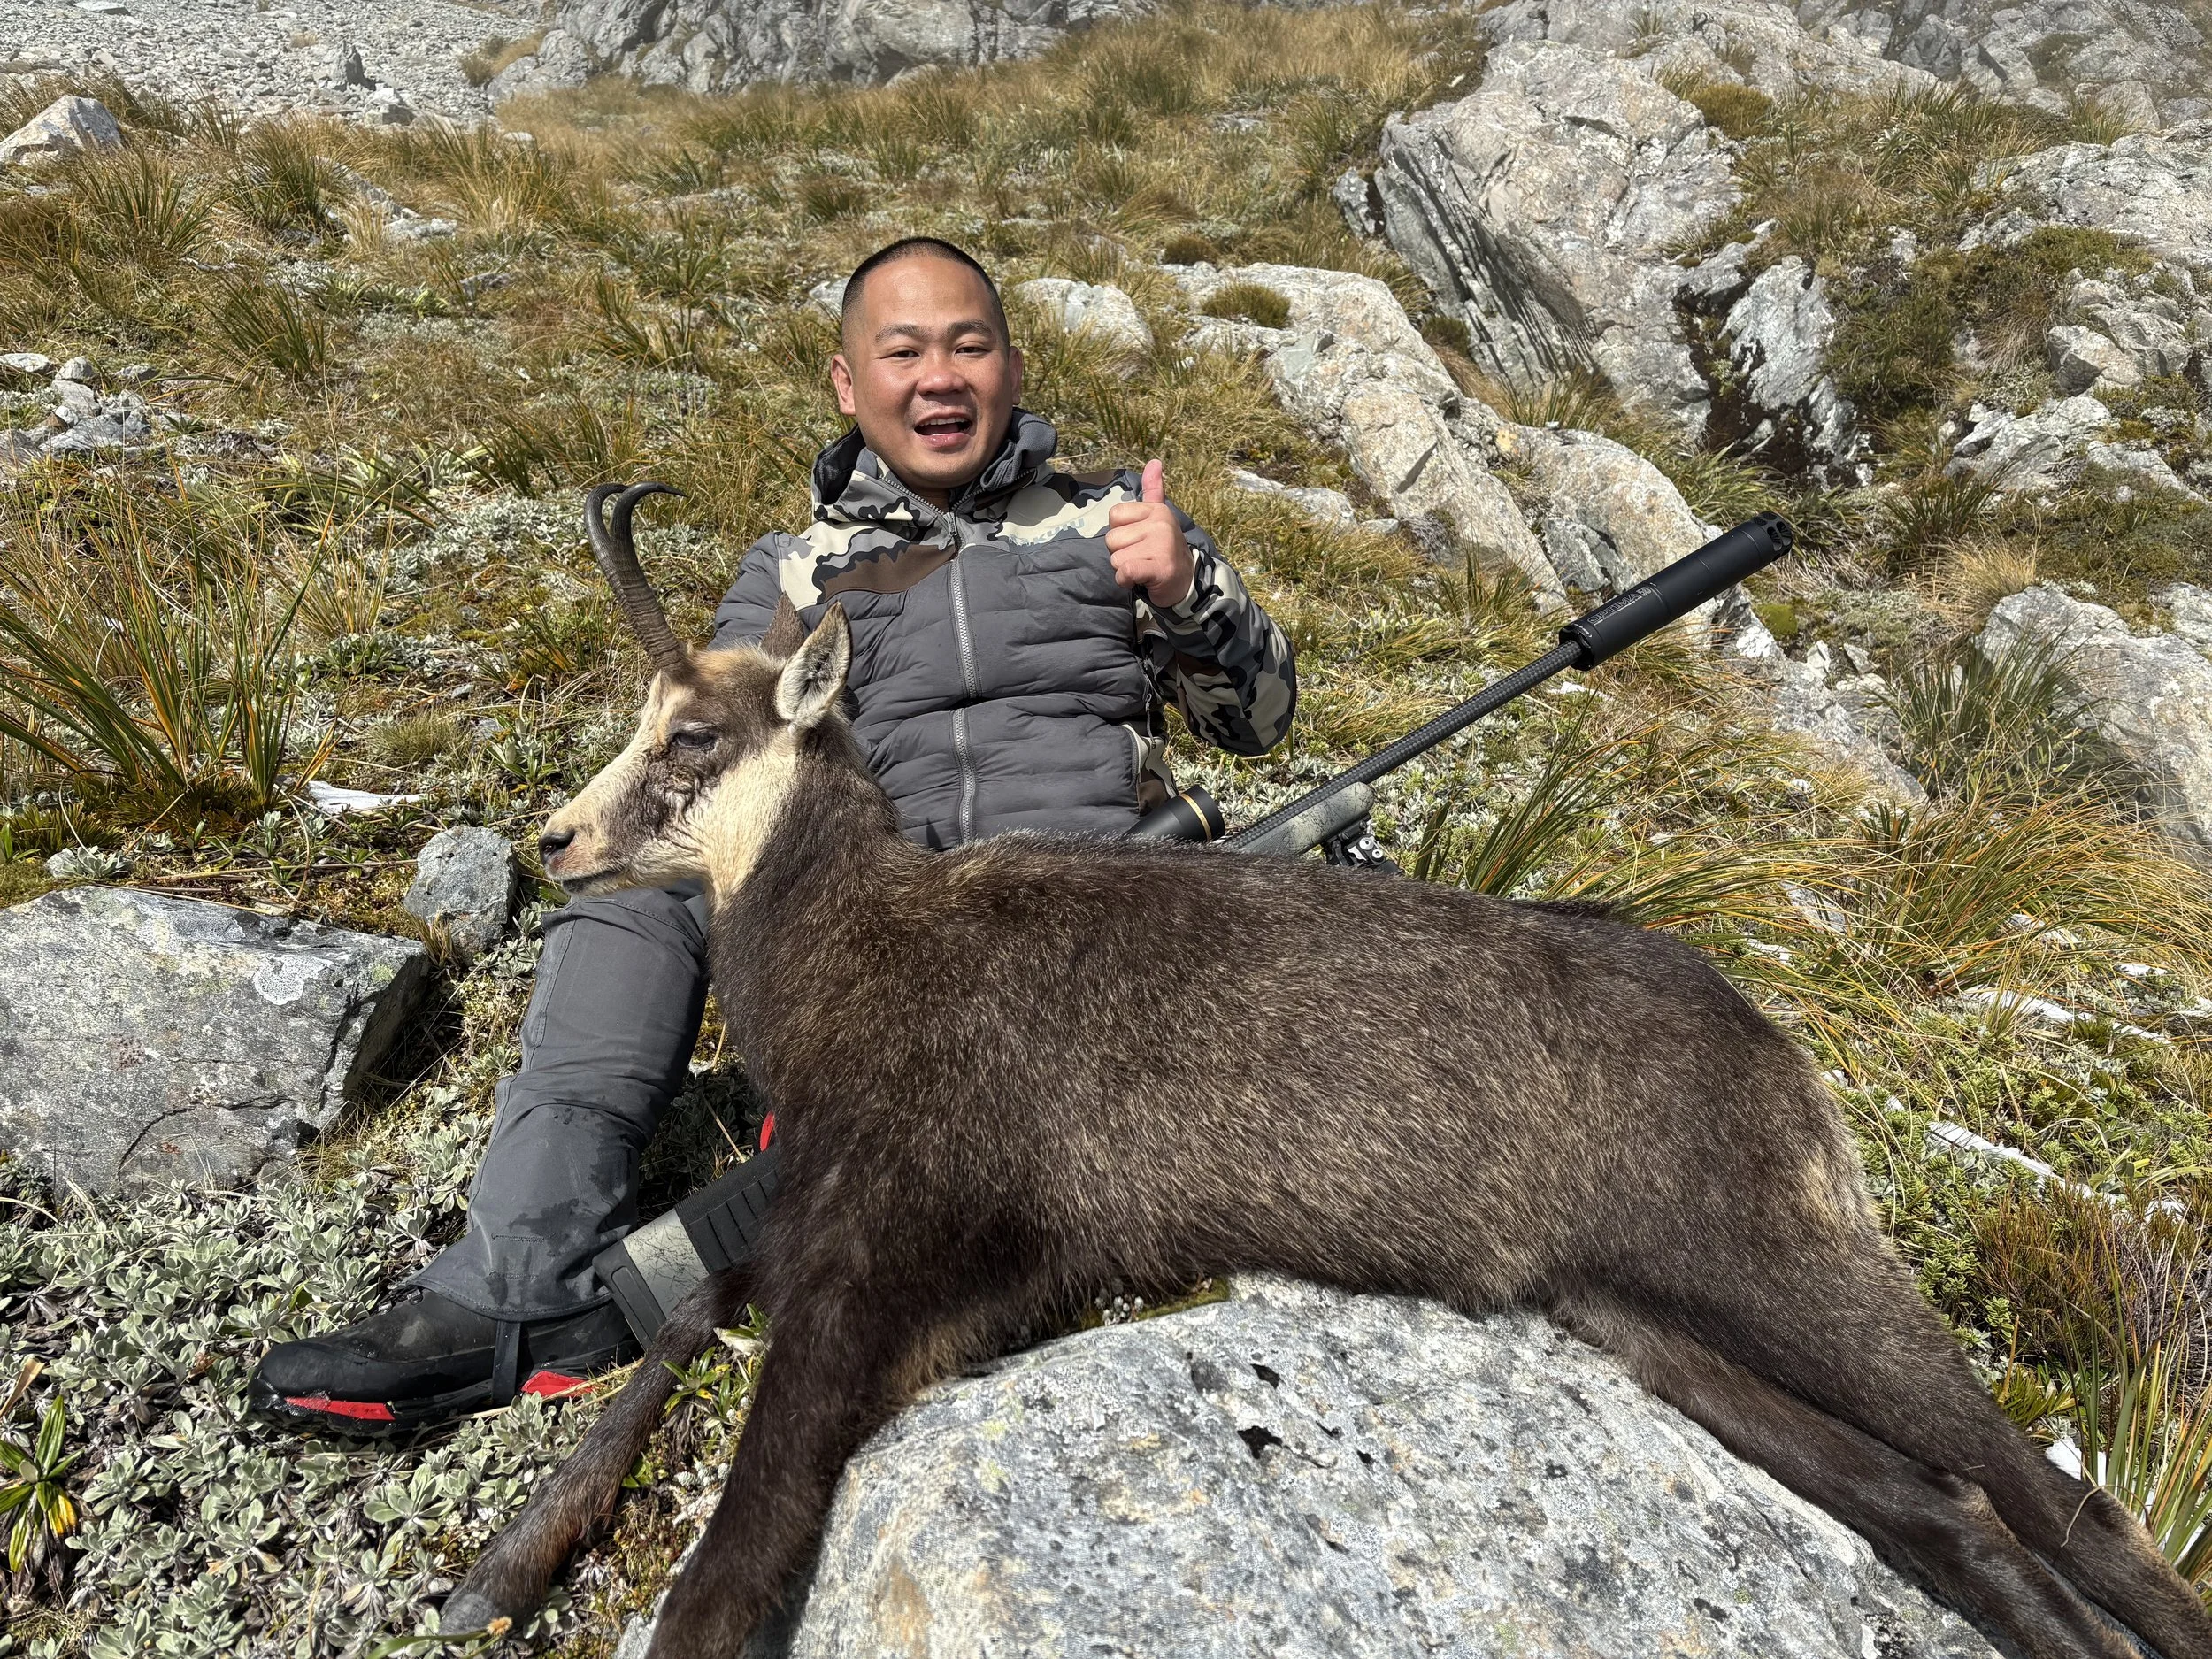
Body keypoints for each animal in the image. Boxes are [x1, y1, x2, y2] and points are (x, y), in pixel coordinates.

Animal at [443, 483, 2212, 1659]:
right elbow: (683, 1341)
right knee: (1946, 1512)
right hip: (1650, 1313)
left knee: (2065, 1504)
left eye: (691, 736)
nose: (554, 842)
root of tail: (1783, 1059)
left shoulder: (900, 1223)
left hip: (1777, 1262)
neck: (860, 951)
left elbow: (749, 1515)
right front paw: (501, 1561)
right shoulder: (937, 1250)